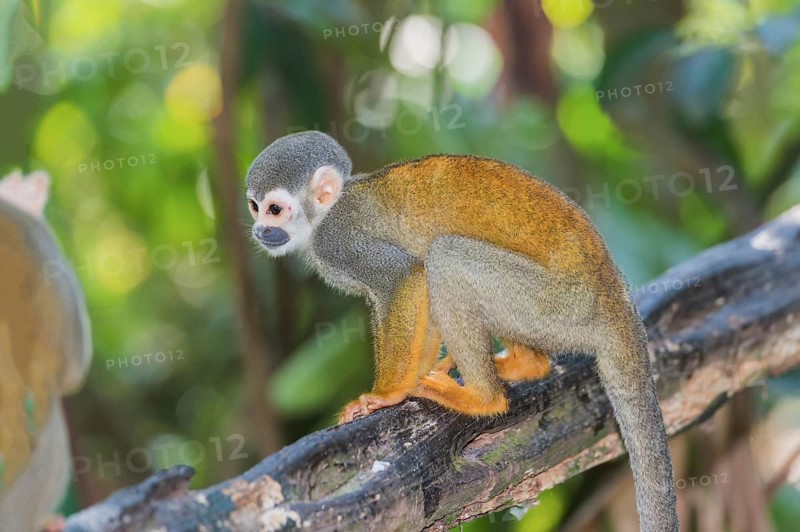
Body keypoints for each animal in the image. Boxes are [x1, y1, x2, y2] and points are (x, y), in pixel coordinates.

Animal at [245, 131, 678, 532]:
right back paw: (524, 365)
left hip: (558, 304)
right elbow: (419, 290)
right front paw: (414, 376)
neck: (325, 213)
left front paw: (388, 394)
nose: (260, 230)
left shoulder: (338, 240)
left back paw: (483, 397)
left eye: (275, 209)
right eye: (254, 207)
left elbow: (404, 276)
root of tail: (614, 296)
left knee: (445, 257)